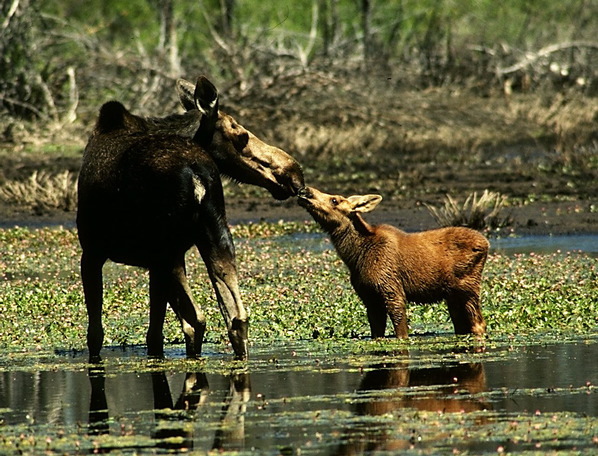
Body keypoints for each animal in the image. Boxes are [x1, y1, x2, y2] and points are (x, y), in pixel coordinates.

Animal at [77, 75, 304, 360]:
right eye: (241, 136)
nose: (294, 173)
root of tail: (197, 172)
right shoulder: (146, 261)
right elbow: (162, 330)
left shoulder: (92, 252)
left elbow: (96, 334)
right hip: (213, 236)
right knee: (235, 317)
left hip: (165, 250)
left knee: (189, 322)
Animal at [298, 185, 490, 338]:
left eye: (335, 200)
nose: (305, 190)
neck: (354, 258)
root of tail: (486, 243)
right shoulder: (369, 297)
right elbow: (377, 333)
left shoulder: (392, 288)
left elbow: (401, 332)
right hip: (452, 294)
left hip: (468, 286)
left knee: (479, 324)